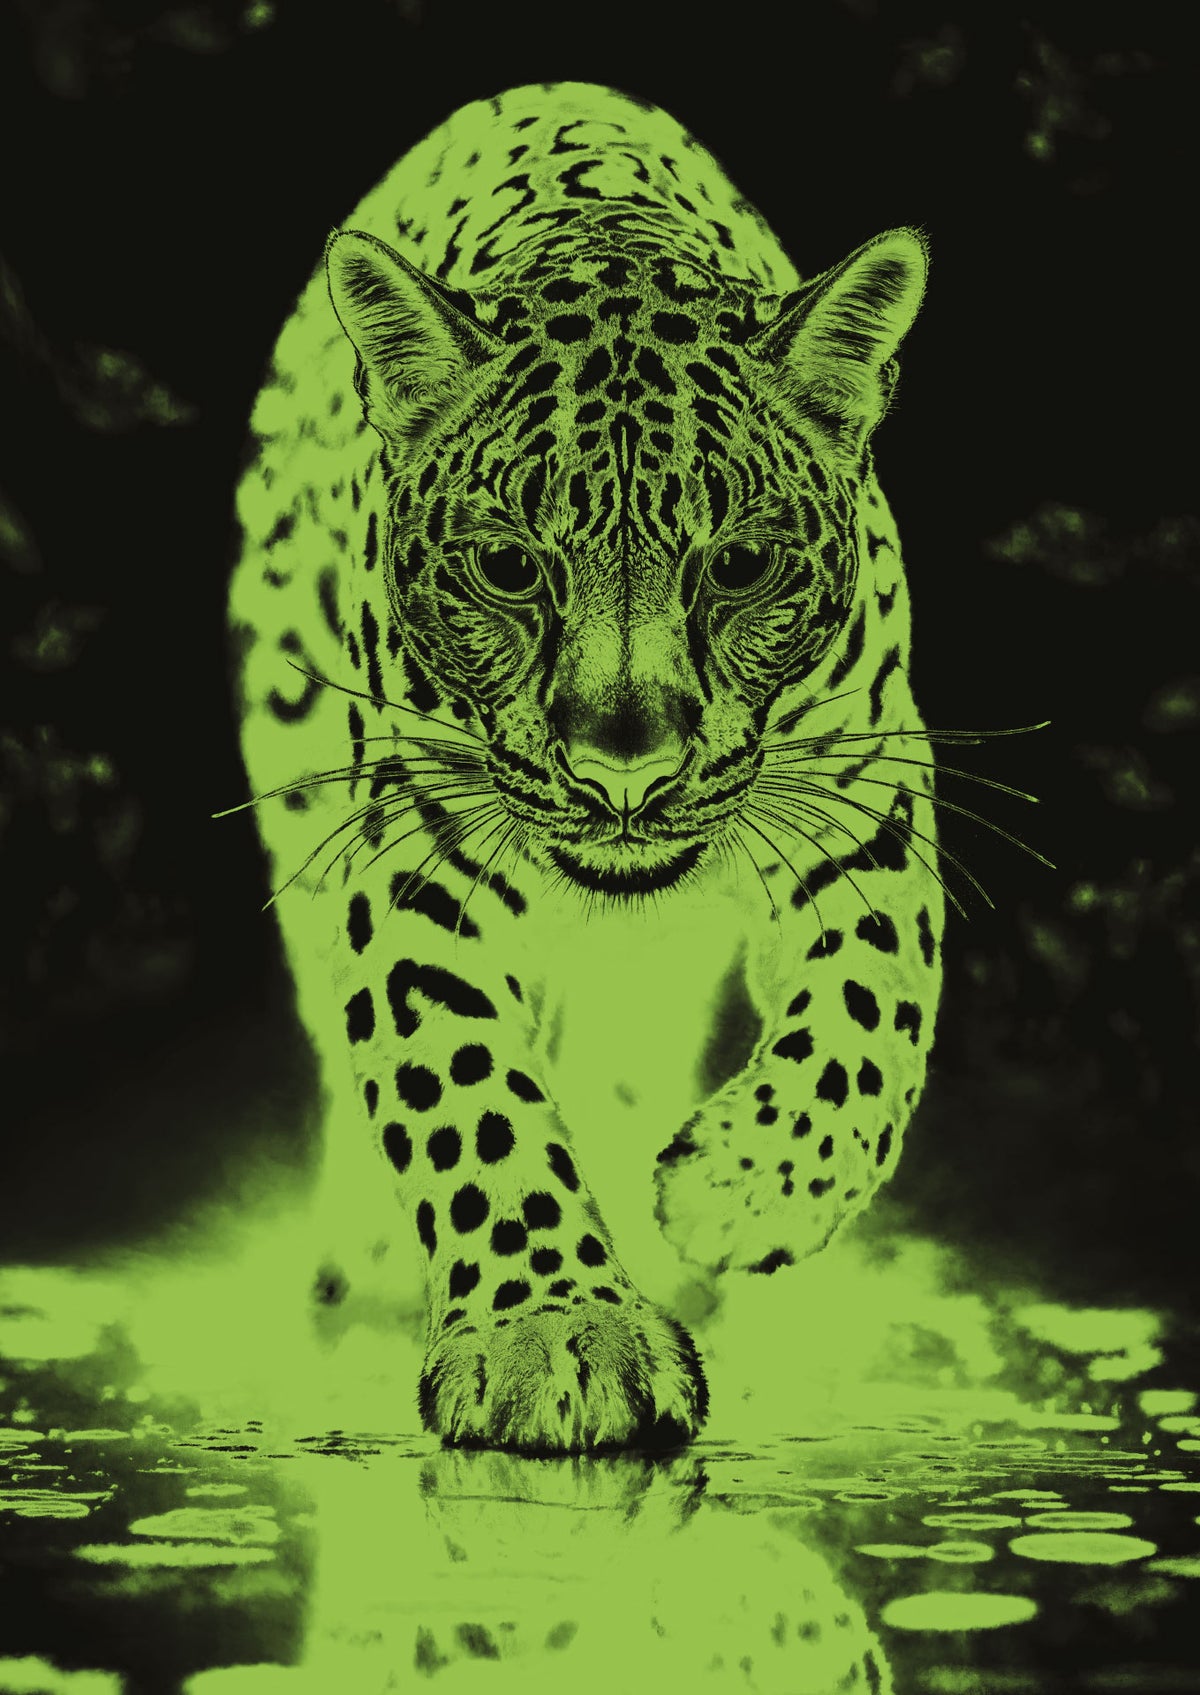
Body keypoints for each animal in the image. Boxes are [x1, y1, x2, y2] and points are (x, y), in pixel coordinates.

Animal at [228, 80, 944, 1454]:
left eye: (739, 565)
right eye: (511, 569)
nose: (626, 774)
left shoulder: (863, 780)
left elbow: (870, 1011)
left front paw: (741, 1197)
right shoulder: (417, 845)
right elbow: (462, 1084)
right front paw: (551, 1332)